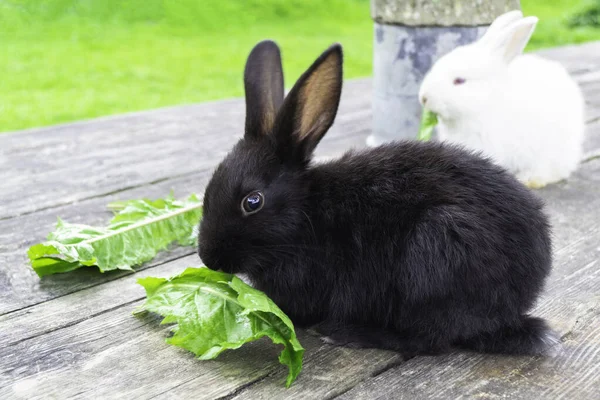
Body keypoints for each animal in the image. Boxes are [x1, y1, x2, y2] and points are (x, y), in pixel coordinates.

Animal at [198, 40, 556, 358]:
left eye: (252, 201)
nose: (207, 258)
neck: (303, 218)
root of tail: (515, 304)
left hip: (435, 255)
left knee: (429, 341)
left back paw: (347, 333)